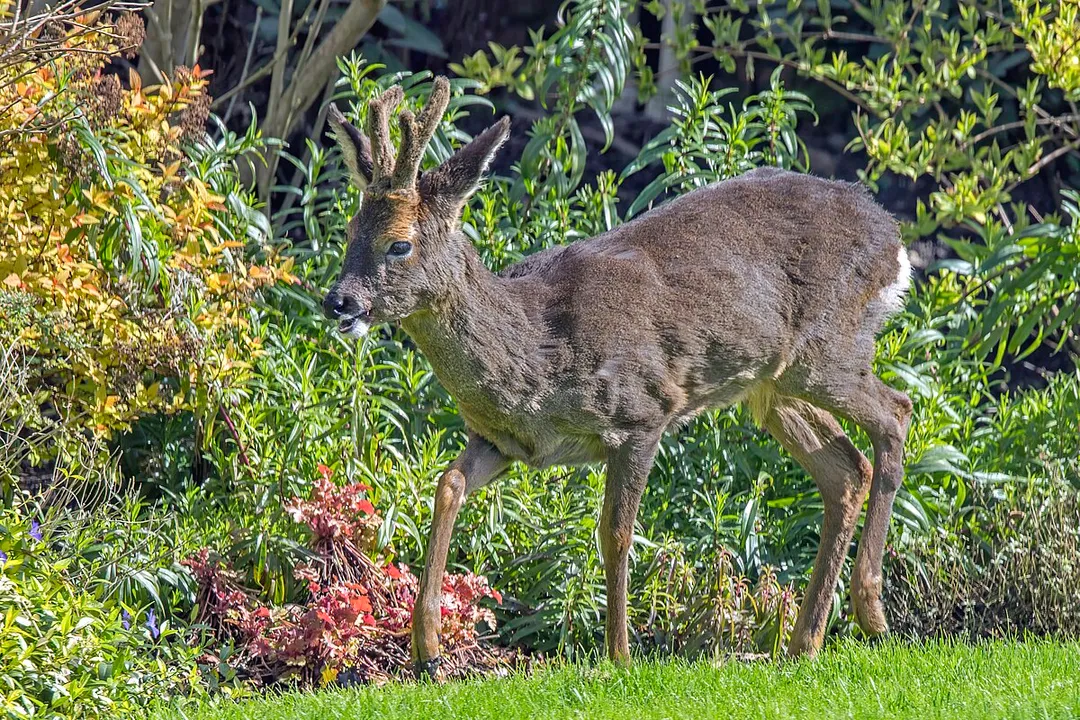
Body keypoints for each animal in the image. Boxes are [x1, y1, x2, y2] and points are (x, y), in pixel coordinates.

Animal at [323, 77, 913, 678]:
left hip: (827, 350)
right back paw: (803, 644)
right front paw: (429, 649)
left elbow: (615, 532)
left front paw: (621, 654)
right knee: (847, 469)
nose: (337, 301)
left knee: (897, 412)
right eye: (349, 230)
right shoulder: (505, 441)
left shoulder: (644, 410)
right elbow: (447, 486)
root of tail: (893, 238)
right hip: (771, 386)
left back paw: (871, 611)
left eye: (400, 243)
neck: (537, 354)